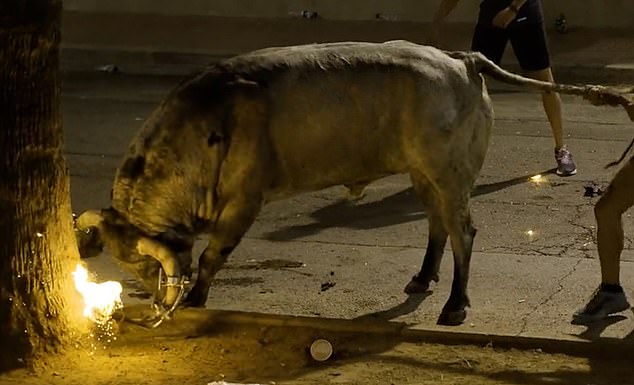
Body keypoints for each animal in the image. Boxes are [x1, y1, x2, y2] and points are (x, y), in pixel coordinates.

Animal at [73, 40, 632, 326]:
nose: (156, 304)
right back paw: (422, 278)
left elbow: (213, 257)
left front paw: (194, 302)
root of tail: (460, 60)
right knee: (437, 225)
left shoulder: (242, 204)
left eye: (149, 262)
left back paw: (454, 304)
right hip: (424, 173)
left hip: (451, 176)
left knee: (464, 232)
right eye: (130, 265)